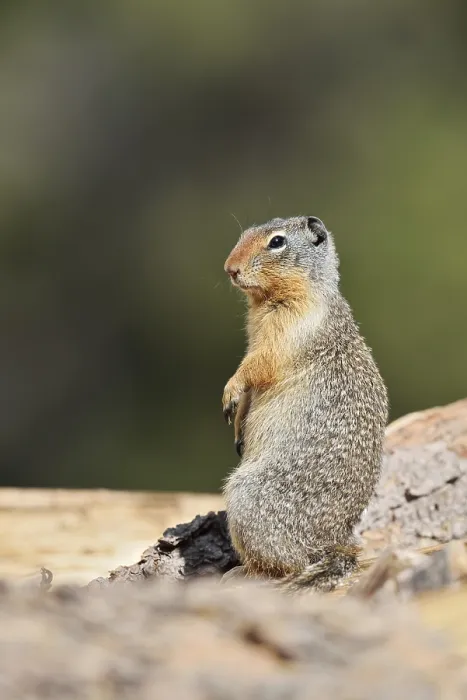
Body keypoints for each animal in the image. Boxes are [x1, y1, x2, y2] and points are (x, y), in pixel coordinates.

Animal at [222, 215, 388, 591]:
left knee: (288, 565)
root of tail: (333, 543)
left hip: (248, 496)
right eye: (244, 233)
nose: (229, 269)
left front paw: (229, 392)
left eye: (277, 242)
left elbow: (257, 366)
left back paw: (243, 573)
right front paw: (237, 424)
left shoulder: (288, 329)